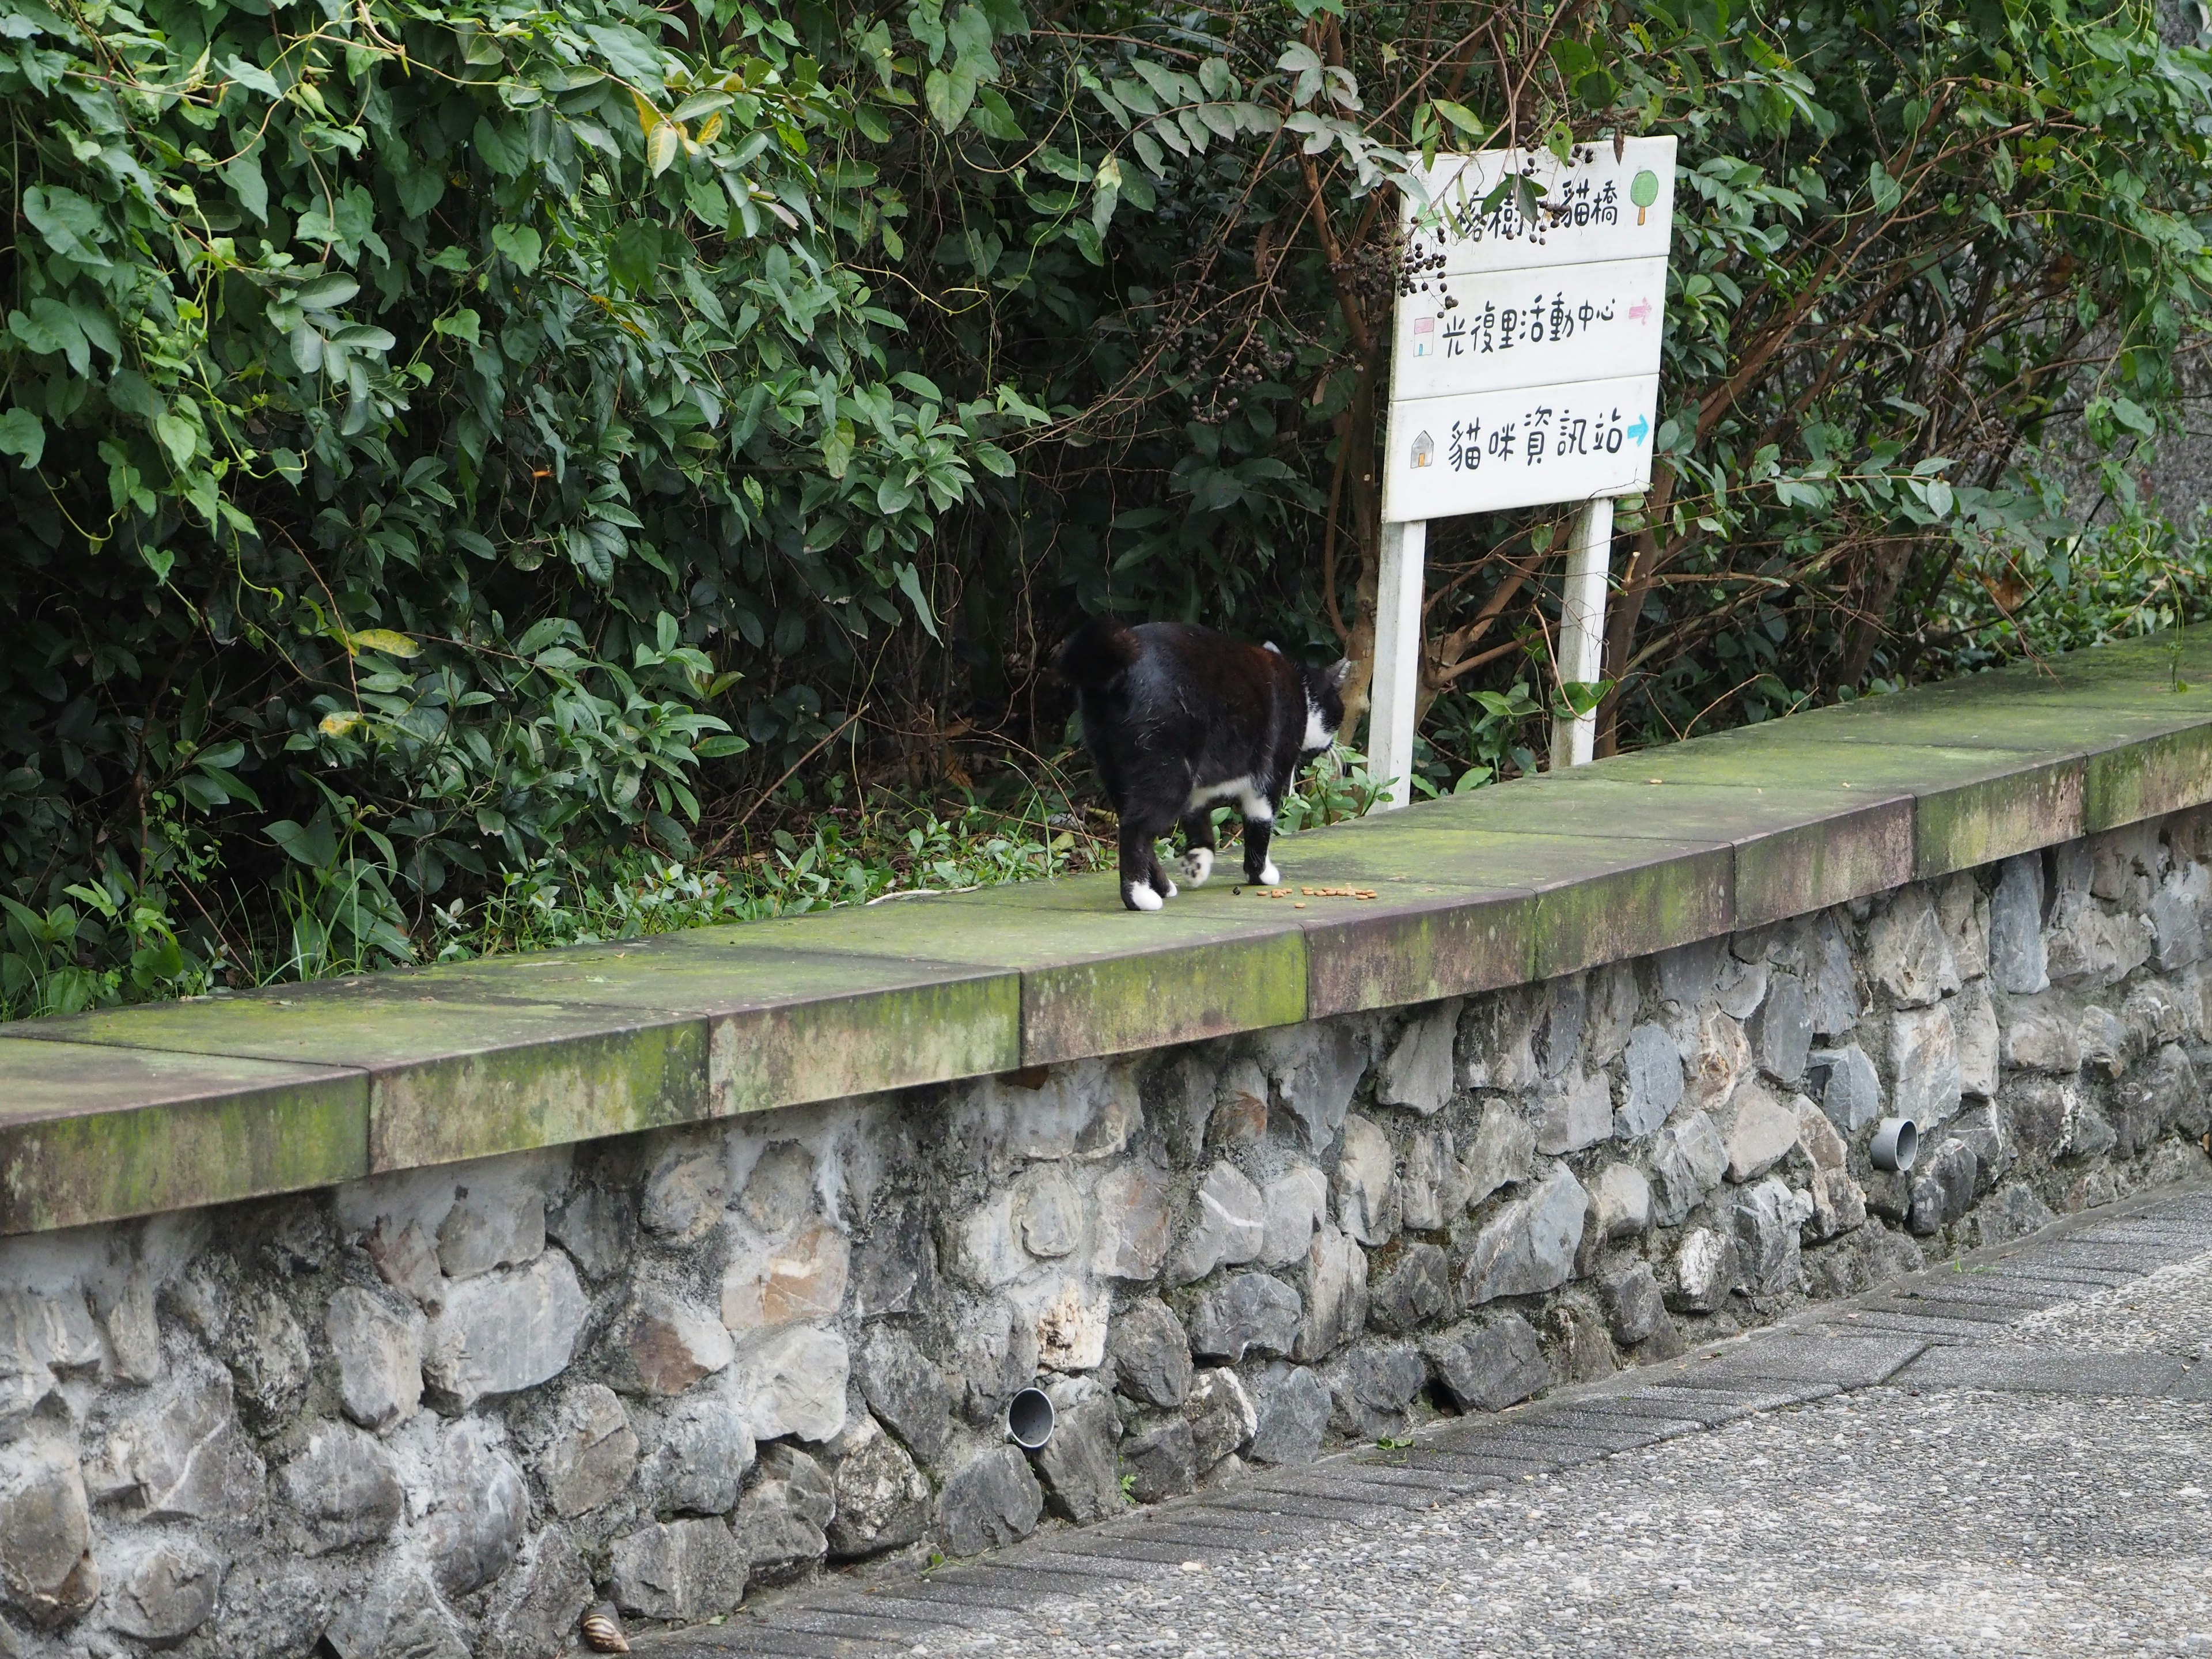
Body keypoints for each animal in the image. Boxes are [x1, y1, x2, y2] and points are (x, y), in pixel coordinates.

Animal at [1052, 619, 1344, 915]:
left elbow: (1199, 821)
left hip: (1113, 763)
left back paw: (1164, 886)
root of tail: (1121, 661)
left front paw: (1197, 862)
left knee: (1129, 821)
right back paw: (1140, 897)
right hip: (1169, 768)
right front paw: (1260, 874)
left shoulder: (1198, 790)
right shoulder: (1271, 773)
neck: (1301, 691)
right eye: (1339, 712)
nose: (1333, 746)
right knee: (1135, 827)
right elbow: (1259, 823)